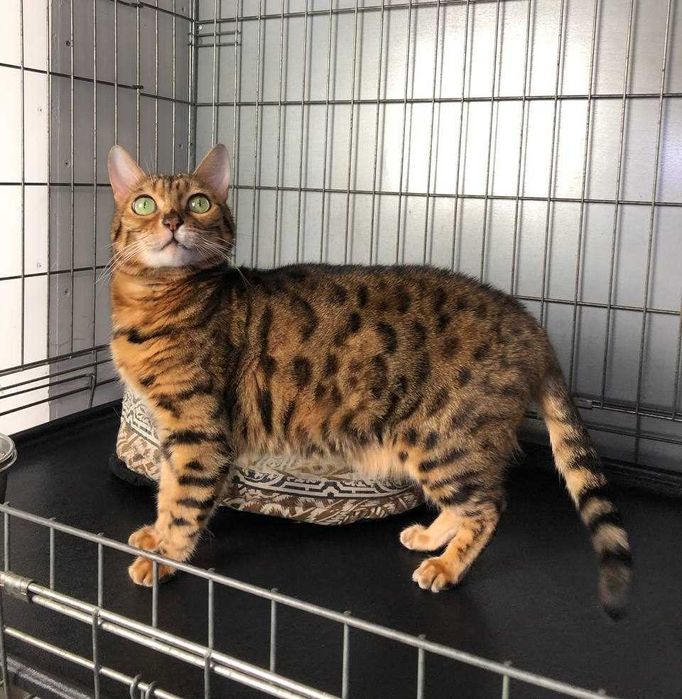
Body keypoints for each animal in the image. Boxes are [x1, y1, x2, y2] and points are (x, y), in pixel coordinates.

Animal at [107, 143, 632, 618]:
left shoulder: (199, 431)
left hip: (444, 442)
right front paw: (154, 535)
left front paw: (163, 558)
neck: (151, 299)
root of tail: (531, 325)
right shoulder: (174, 433)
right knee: (471, 504)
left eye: (199, 202)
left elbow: (184, 502)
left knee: (489, 506)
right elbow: (167, 493)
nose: (172, 221)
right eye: (144, 203)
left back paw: (447, 567)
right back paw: (429, 537)